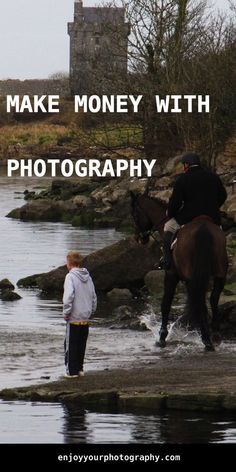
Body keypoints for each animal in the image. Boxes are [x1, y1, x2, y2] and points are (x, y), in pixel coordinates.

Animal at [131, 192, 229, 350]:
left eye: (134, 214)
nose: (138, 238)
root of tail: (203, 227)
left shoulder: (171, 275)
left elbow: (166, 304)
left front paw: (162, 337)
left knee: (199, 301)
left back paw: (206, 339)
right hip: (220, 272)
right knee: (212, 298)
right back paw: (214, 335)